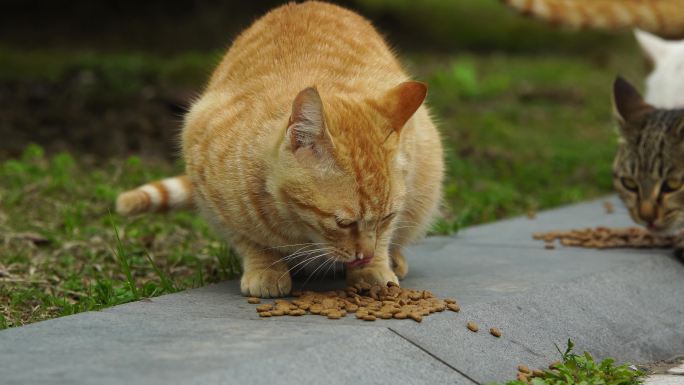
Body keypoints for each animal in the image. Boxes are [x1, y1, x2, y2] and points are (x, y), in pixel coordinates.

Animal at [113, 0, 444, 296]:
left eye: (386, 217)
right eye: (343, 223)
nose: (364, 255)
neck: (297, 226)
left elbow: (385, 238)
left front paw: (374, 267)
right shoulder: (211, 189)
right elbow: (250, 240)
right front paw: (266, 270)